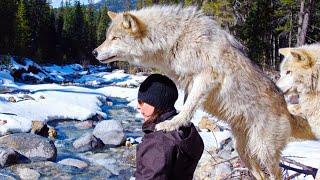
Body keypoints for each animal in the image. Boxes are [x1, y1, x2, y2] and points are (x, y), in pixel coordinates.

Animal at [90, 4, 310, 179]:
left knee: (277, 173)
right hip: (243, 151)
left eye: (115, 38)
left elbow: (189, 106)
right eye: (107, 37)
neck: (175, 38)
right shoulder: (188, 82)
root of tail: (287, 109)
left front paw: (171, 124)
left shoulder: (206, 77)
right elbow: (187, 103)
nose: (94, 52)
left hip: (264, 151)